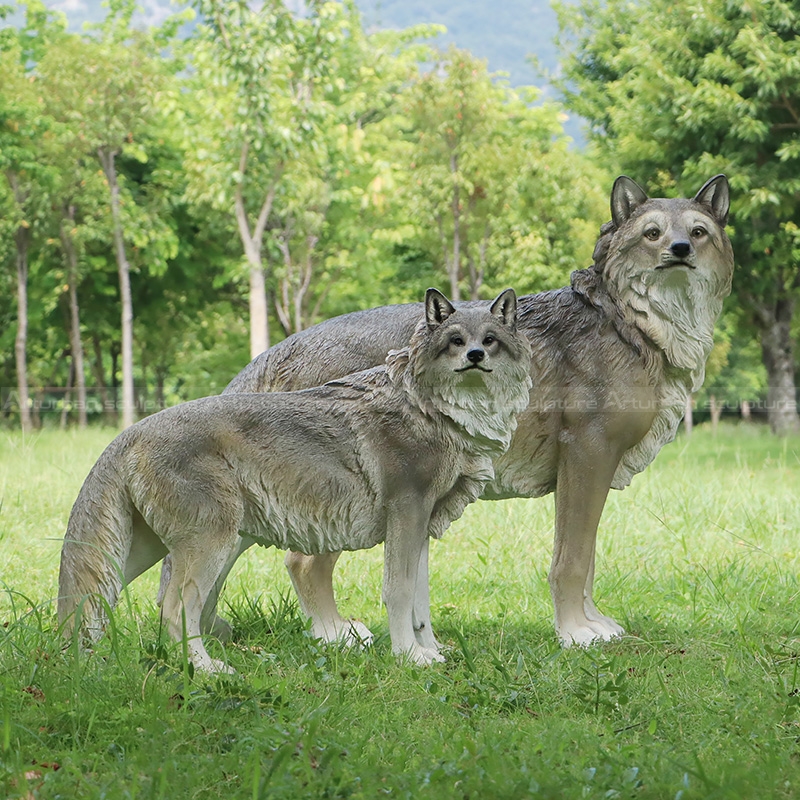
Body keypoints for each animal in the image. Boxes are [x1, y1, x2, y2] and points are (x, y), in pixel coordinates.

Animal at [58, 289, 532, 672]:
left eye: (489, 339)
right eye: (456, 341)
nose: (475, 356)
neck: (435, 411)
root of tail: (131, 431)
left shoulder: (424, 527)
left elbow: (421, 602)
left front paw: (429, 652)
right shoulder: (406, 515)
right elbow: (398, 593)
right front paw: (409, 659)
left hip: (136, 554)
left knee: (91, 605)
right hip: (211, 545)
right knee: (173, 609)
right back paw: (206, 669)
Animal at [182, 174, 733, 649]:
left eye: (697, 232)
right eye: (652, 233)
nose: (679, 251)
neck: (633, 324)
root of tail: (280, 348)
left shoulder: (588, 473)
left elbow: (588, 557)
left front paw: (594, 623)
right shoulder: (587, 455)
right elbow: (571, 560)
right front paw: (575, 633)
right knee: (302, 562)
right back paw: (335, 635)